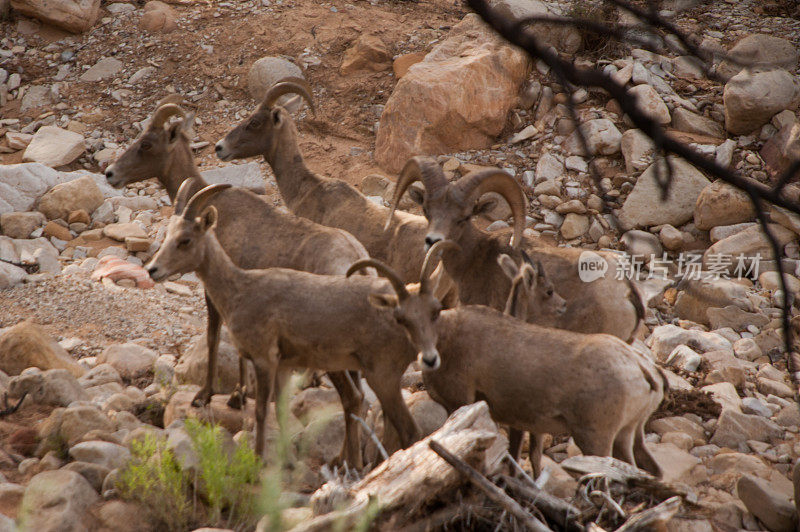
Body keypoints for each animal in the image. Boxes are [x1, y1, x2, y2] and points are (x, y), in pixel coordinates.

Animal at [105, 102, 376, 468]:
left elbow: (214, 337)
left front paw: (209, 396)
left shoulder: (216, 294)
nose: (110, 173)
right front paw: (240, 395)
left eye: (146, 144)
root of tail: (356, 262)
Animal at [148, 184, 424, 458]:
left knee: (376, 411)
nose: (153, 270)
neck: (241, 288)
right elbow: (280, 412)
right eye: (167, 235)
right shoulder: (281, 365)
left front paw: (258, 457)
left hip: (372, 372)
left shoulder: (265, 359)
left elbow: (260, 410)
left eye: (185, 240)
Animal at [348, 242, 664, 478]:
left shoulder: (466, 404)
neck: (451, 337)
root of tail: (641, 371)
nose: (428, 359)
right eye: (401, 317)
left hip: (596, 439)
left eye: (435, 310)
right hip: (627, 435)